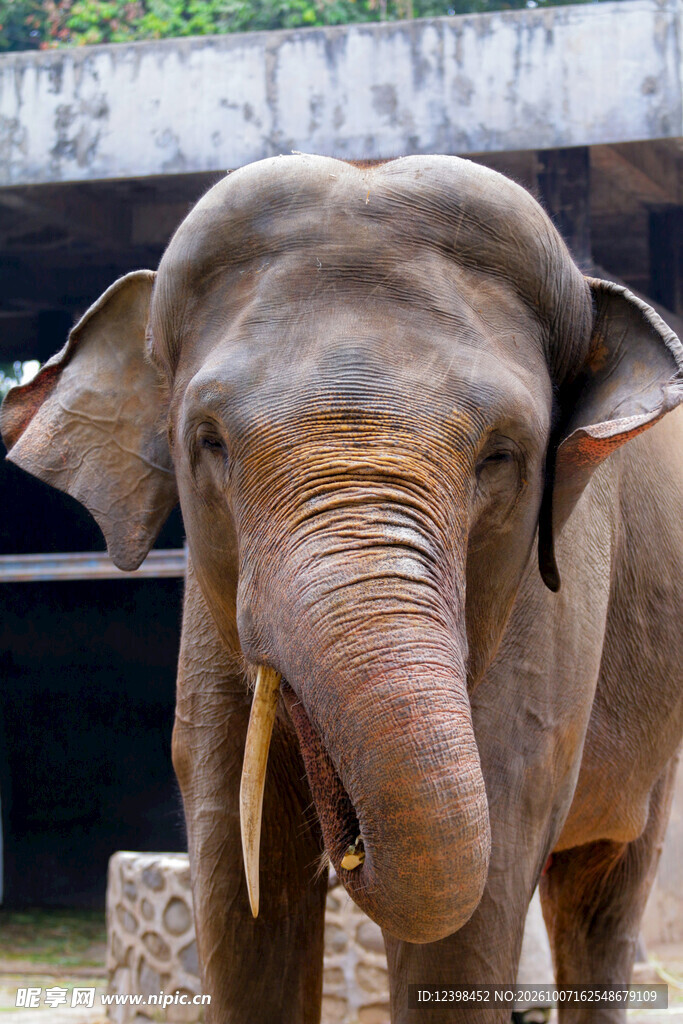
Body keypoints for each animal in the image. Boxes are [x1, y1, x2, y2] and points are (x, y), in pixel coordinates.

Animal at [1, 154, 682, 1024]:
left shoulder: (554, 609)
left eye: (501, 456)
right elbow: (236, 870)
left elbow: (477, 886)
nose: (350, 846)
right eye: (208, 443)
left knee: (601, 890)